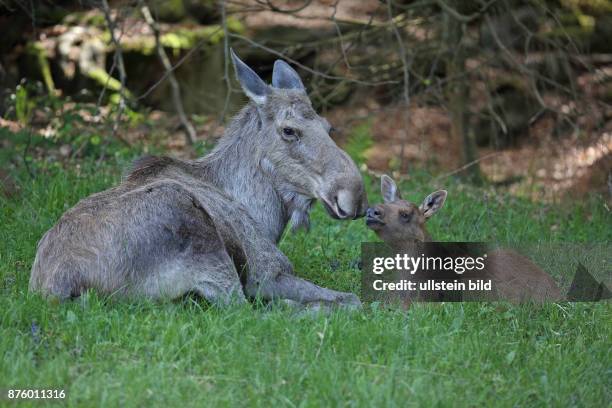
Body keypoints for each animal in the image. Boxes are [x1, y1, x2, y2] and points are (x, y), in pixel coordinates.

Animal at [31, 50, 366, 310]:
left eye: (329, 127)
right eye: (289, 130)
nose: (355, 195)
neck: (264, 213)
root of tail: (59, 286)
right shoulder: (266, 272)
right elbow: (352, 299)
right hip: (197, 234)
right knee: (245, 309)